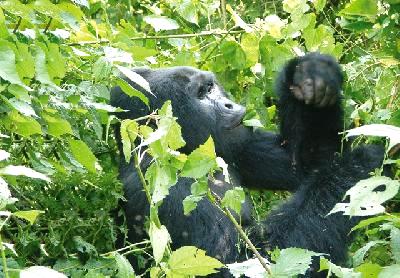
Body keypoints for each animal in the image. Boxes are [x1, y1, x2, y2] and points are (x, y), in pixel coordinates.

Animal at [109, 52, 384, 276]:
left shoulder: (235, 145)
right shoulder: (165, 189)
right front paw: (360, 165)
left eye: (211, 87)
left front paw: (311, 73)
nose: (230, 104)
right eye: (201, 94)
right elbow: (247, 263)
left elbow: (309, 163)